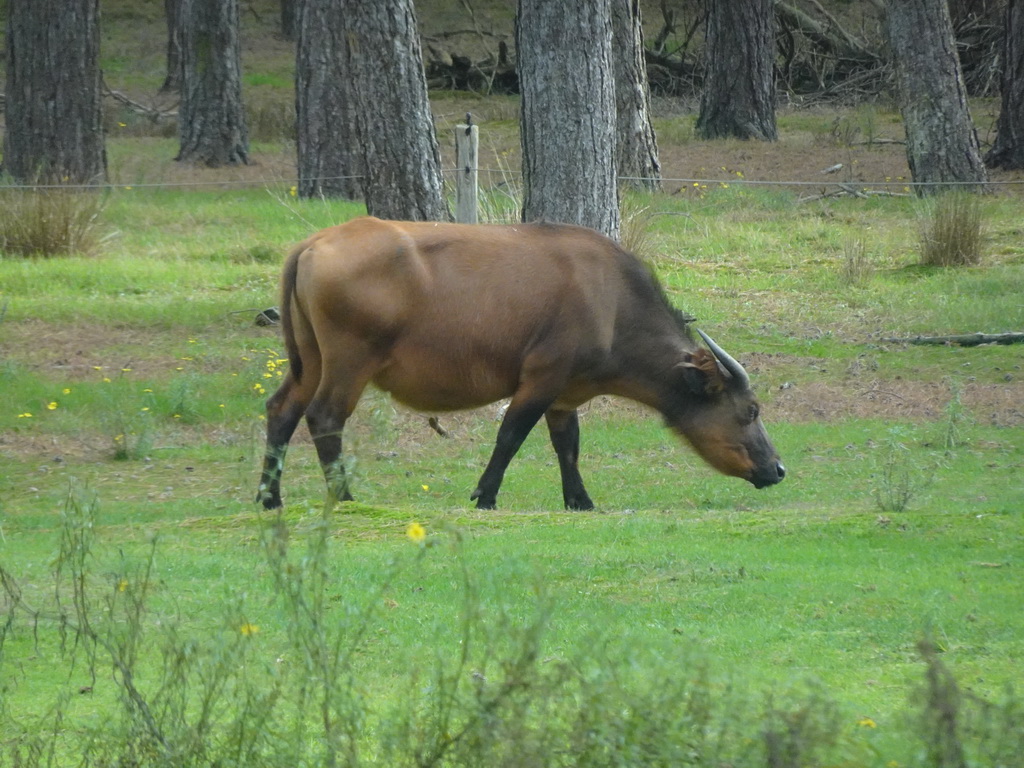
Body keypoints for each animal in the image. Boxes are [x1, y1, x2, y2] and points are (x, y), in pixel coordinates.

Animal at [256, 217, 782, 512]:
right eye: (751, 410)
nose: (777, 469)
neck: (612, 304)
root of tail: (313, 244)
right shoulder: (541, 379)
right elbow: (510, 436)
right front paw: (485, 495)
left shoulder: (566, 396)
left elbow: (568, 446)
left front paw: (579, 500)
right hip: (349, 363)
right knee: (325, 417)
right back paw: (343, 496)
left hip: (308, 362)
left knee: (281, 411)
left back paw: (268, 496)